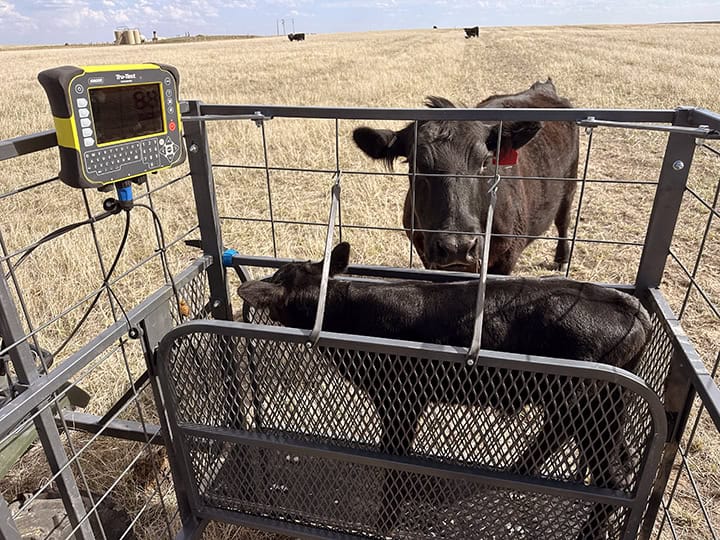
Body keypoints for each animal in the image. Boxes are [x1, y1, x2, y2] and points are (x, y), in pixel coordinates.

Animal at [238, 242, 652, 539]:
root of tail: (632, 309)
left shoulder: (402, 399)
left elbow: (395, 459)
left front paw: (385, 522)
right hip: (606, 404)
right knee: (616, 457)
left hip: (586, 405)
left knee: (611, 479)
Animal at [352, 79, 580, 275]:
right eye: (418, 164)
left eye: (485, 162)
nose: (457, 247)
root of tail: (543, 88)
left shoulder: (508, 254)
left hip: (570, 185)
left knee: (563, 221)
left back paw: (562, 259)